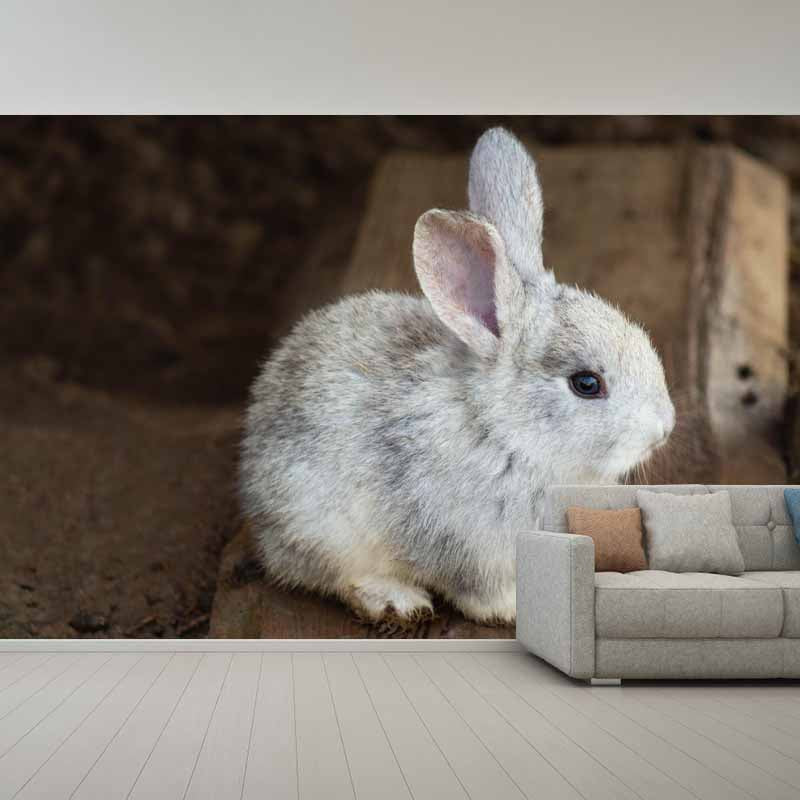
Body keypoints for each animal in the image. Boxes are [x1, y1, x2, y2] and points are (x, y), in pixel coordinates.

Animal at [239, 127, 675, 626]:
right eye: (586, 384)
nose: (664, 428)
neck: (506, 433)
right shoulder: (459, 541)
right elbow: (479, 591)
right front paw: (514, 608)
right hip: (319, 525)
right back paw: (395, 600)